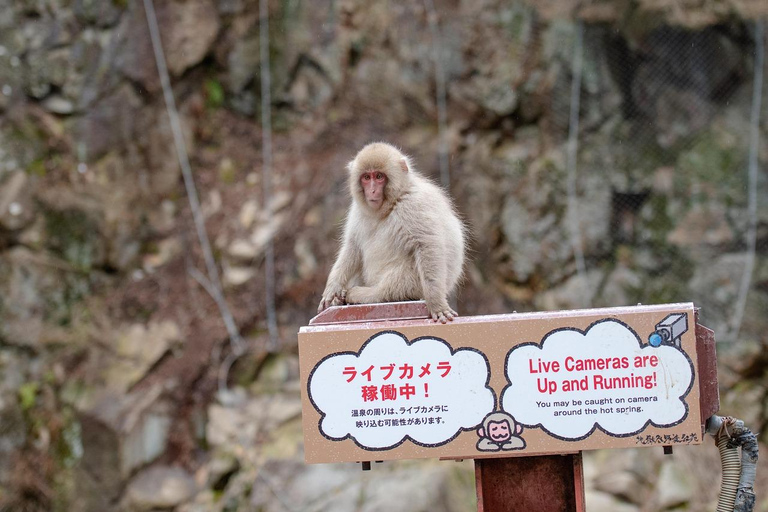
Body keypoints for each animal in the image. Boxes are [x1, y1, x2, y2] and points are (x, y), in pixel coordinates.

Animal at [318, 142, 466, 323]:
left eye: (379, 176)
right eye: (367, 178)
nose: (372, 191)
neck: (392, 203)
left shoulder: (413, 204)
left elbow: (427, 244)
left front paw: (437, 303)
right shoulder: (357, 210)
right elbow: (353, 247)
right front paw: (333, 288)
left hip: (416, 286)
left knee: (397, 282)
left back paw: (365, 294)